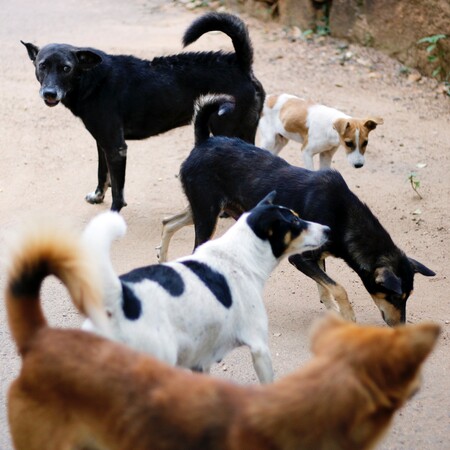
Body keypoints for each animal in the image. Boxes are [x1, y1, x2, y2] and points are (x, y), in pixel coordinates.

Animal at [21, 11, 266, 213]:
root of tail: (240, 63)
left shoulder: (116, 147)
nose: (49, 93)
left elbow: (118, 191)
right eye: (42, 66)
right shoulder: (102, 142)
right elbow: (102, 174)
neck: (90, 78)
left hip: (226, 130)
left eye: (66, 68)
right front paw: (98, 196)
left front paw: (113, 214)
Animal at [82, 192, 328, 382]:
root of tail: (121, 298)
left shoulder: (200, 360)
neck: (239, 254)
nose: (328, 229)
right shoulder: (259, 348)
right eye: (295, 223)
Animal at [256, 93, 384, 169]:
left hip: (281, 141)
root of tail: (267, 97)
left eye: (366, 142)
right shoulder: (306, 152)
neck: (330, 129)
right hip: (269, 140)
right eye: (348, 143)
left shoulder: (326, 155)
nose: (359, 165)